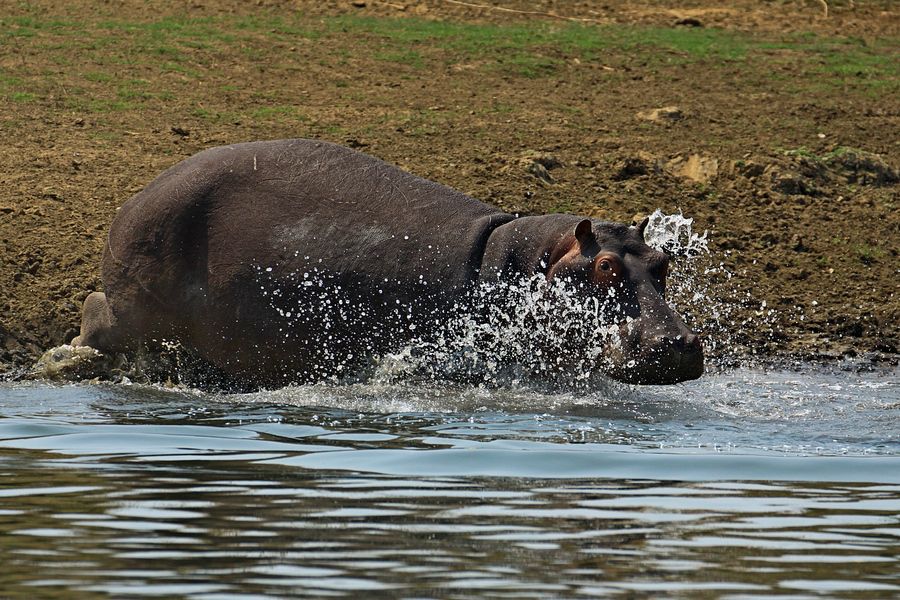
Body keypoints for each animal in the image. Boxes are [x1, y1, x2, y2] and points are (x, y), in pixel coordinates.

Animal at [74, 138, 704, 386]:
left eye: (664, 260)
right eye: (605, 268)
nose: (678, 343)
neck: (527, 259)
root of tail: (136, 198)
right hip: (136, 306)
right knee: (98, 314)